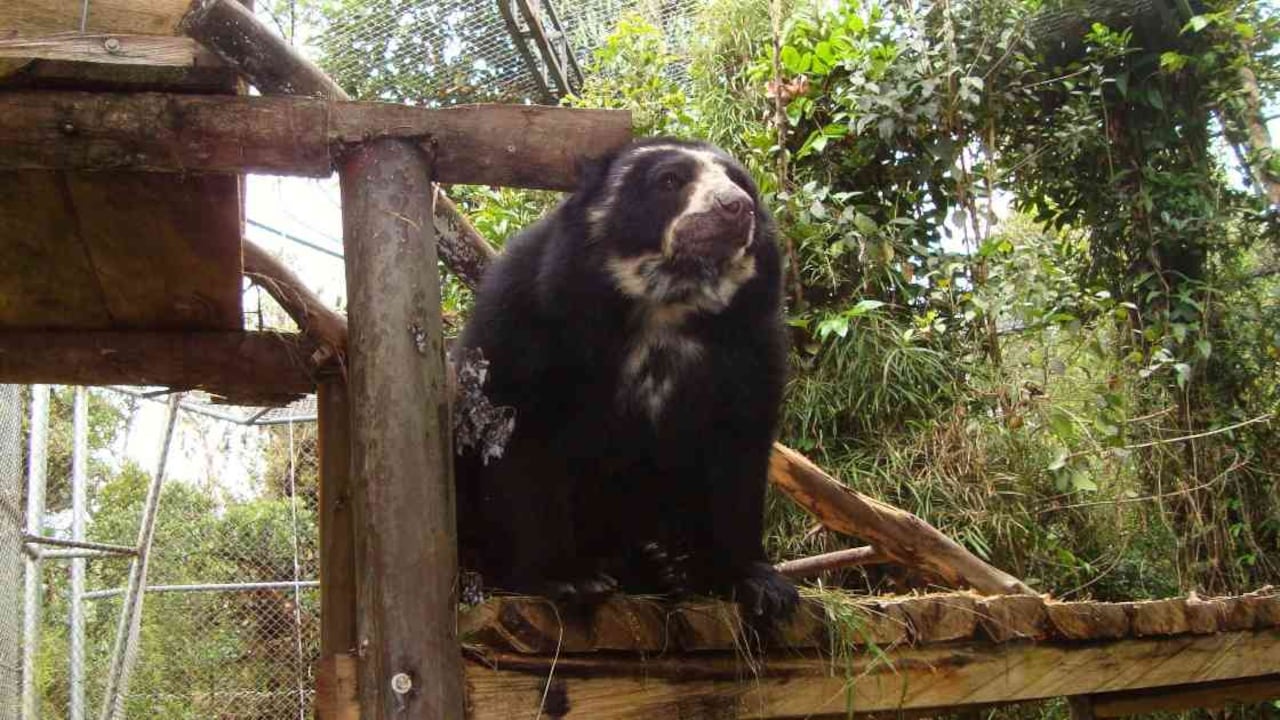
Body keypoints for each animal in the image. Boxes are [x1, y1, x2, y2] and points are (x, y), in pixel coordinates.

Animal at [454, 138, 797, 619]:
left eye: (740, 182)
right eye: (670, 181)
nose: (736, 207)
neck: (665, 304)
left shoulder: (752, 343)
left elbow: (739, 450)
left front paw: (762, 586)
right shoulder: (527, 316)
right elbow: (521, 434)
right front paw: (568, 579)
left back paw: (666, 567)